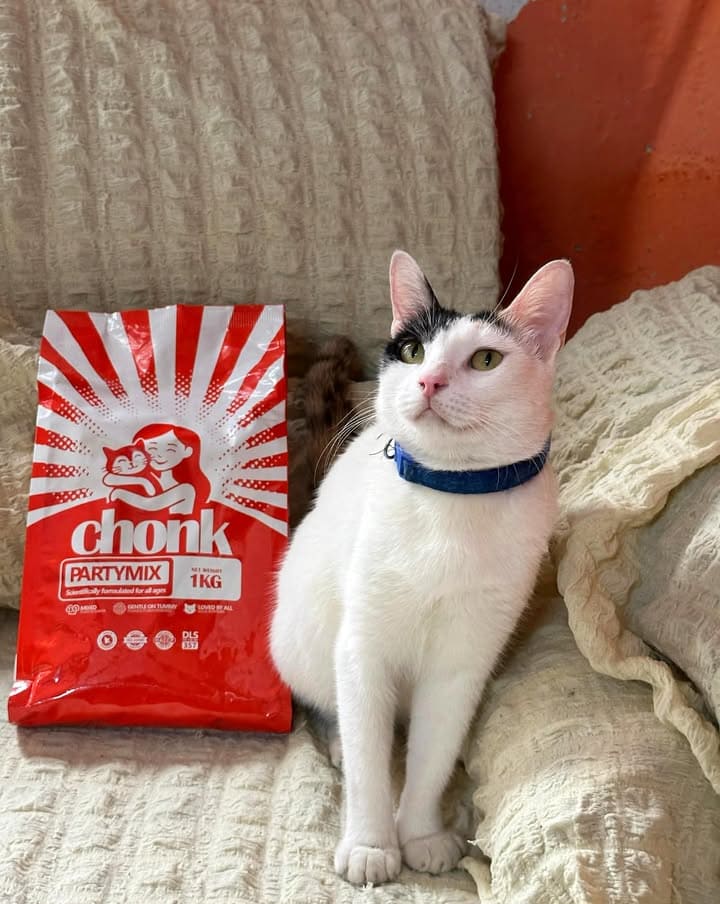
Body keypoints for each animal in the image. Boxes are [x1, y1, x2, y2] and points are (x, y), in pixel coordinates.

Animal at [270, 250, 574, 886]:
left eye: (486, 359)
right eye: (412, 351)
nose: (430, 381)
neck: (451, 501)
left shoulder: (462, 664)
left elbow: (431, 758)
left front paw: (421, 836)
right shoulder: (362, 647)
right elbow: (368, 765)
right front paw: (370, 845)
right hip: (303, 643)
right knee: (333, 710)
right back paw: (341, 742)